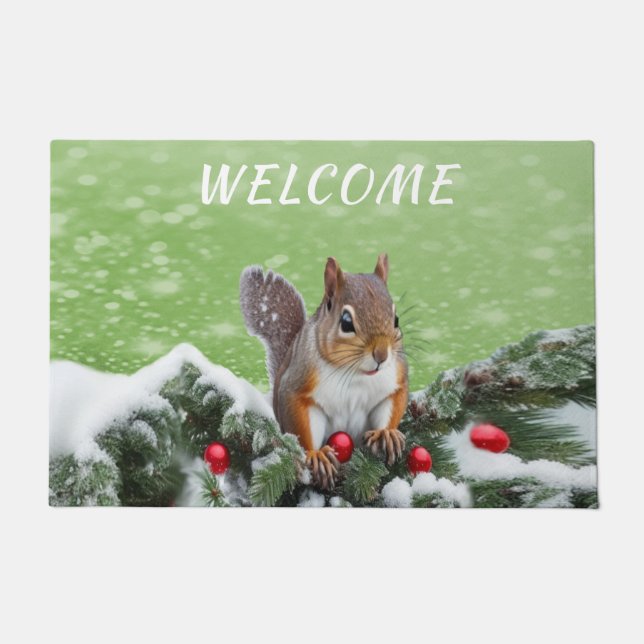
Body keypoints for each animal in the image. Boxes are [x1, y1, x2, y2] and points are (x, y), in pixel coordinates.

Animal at [239, 253, 408, 489]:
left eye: (396, 320)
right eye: (346, 322)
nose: (382, 355)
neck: (355, 373)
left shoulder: (396, 379)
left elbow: (394, 401)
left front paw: (387, 433)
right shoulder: (297, 384)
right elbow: (300, 422)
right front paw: (315, 455)